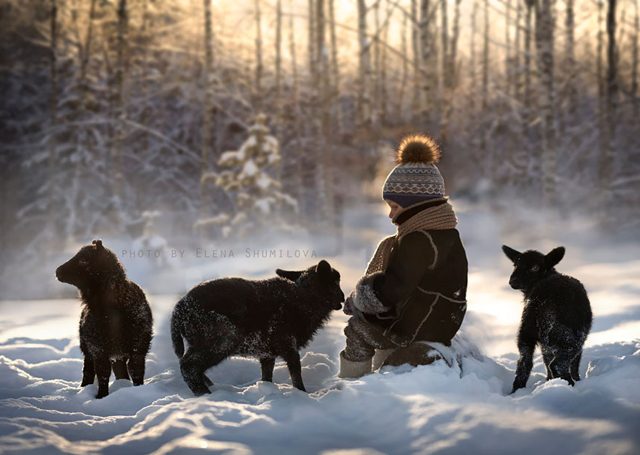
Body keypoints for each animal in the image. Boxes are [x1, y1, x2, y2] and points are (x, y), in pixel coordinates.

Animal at [55, 239, 153, 400]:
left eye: (83, 260)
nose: (58, 271)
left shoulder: (138, 348)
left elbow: (136, 372)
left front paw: (137, 391)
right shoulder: (98, 348)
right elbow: (102, 374)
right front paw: (101, 396)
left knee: (120, 370)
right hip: (87, 347)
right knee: (88, 371)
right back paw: (84, 388)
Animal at [168, 260, 342, 396]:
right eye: (335, 282)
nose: (342, 298)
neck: (305, 298)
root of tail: (179, 309)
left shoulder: (267, 351)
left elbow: (267, 375)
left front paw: (267, 391)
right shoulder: (286, 342)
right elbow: (295, 370)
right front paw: (302, 394)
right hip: (221, 337)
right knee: (188, 367)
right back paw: (206, 394)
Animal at [502, 246, 592, 396]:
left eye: (535, 267)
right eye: (515, 264)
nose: (513, 281)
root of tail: (540, 302)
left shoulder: (546, 346)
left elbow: (545, 360)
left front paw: (548, 380)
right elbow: (575, 364)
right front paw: (577, 379)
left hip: (526, 332)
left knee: (524, 363)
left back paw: (517, 392)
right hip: (567, 336)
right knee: (558, 364)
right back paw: (568, 386)